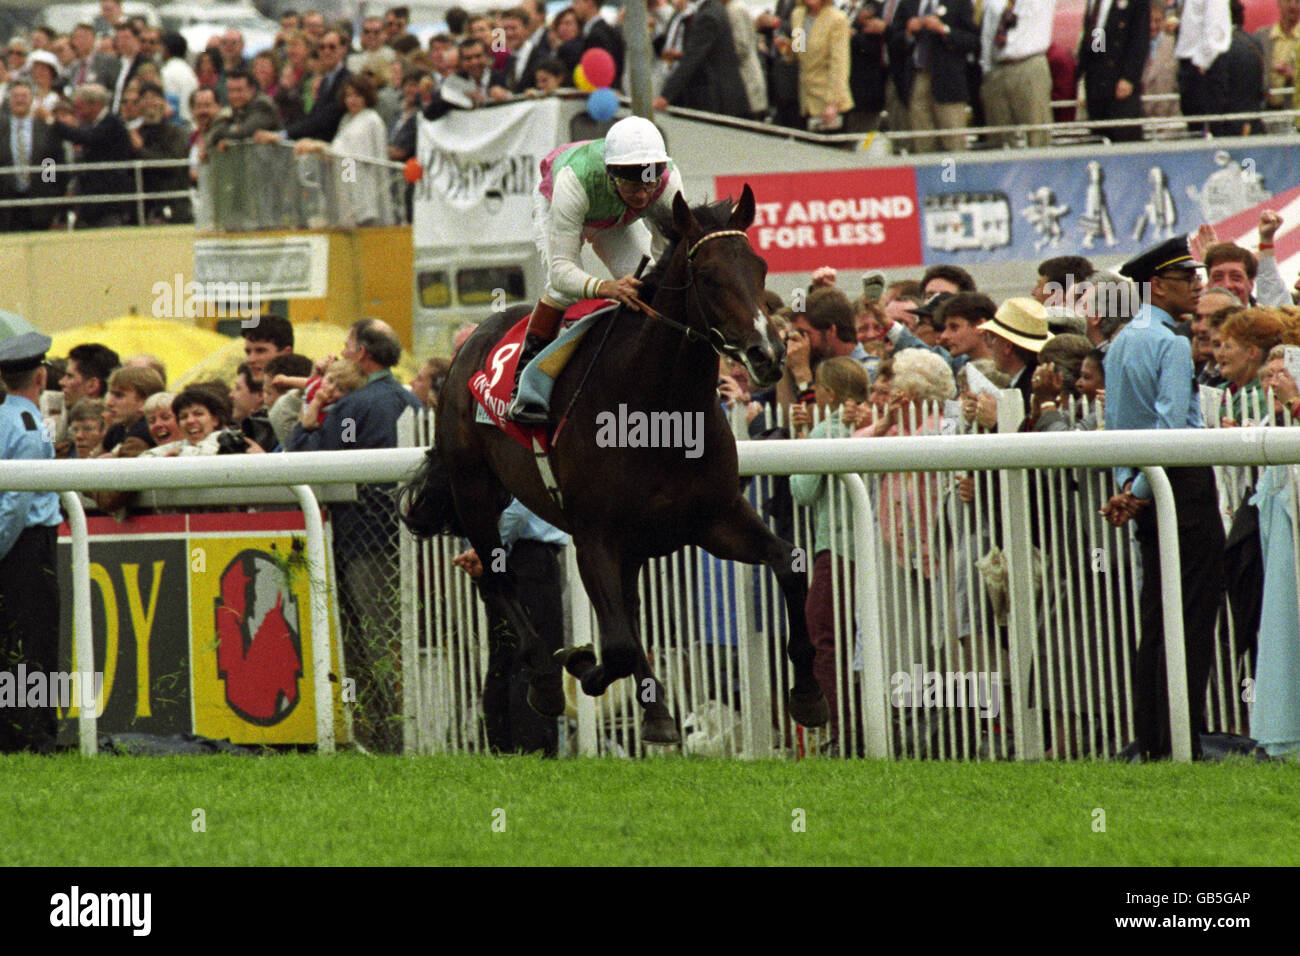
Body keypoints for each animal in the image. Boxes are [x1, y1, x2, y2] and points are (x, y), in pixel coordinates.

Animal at [405, 184, 826, 738]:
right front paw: (580, 665)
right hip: (474, 489)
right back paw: (547, 680)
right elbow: (620, 644)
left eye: (760, 266)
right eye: (709, 276)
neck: (658, 409)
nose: (768, 354)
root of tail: (471, 337)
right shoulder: (594, 536)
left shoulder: (713, 518)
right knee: (496, 578)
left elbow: (791, 565)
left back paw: (654, 710)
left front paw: (808, 694)